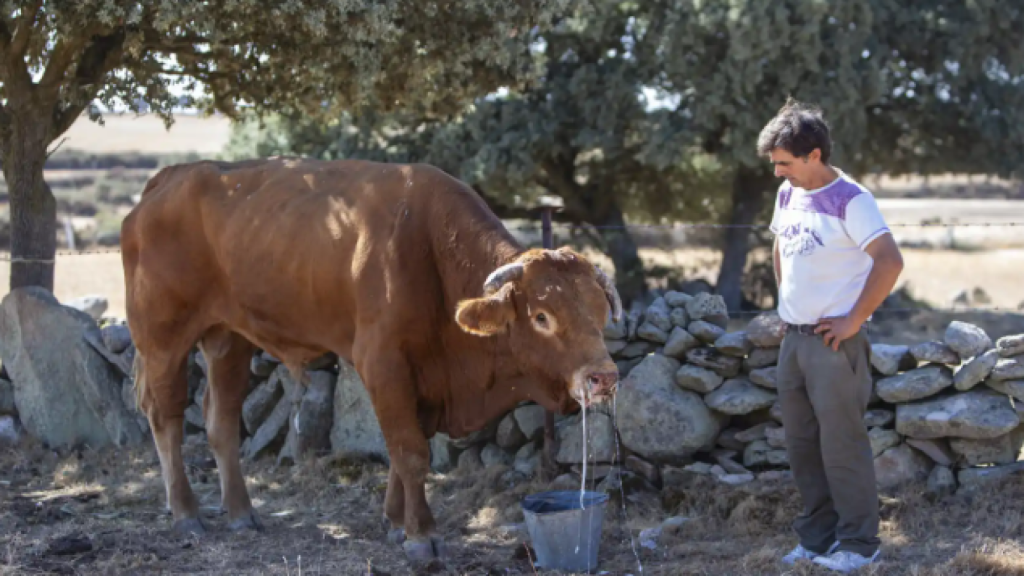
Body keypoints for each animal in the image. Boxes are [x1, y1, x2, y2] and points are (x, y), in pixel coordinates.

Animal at [119, 154, 614, 557]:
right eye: (542, 316)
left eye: (601, 311)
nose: (603, 376)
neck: (431, 250)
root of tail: (170, 176)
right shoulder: (383, 363)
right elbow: (410, 451)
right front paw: (421, 536)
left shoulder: (421, 380)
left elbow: (403, 450)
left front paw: (395, 521)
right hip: (163, 337)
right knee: (166, 416)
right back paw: (187, 513)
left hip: (228, 337)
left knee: (221, 422)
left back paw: (241, 512)